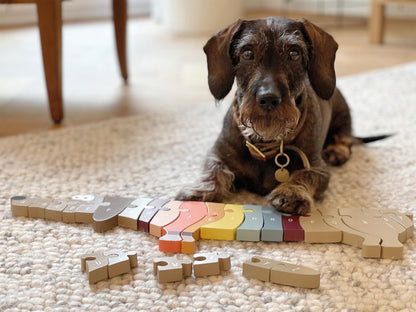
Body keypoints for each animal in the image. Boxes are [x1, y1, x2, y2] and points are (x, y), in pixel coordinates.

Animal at [178, 17, 386, 214]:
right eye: (247, 53)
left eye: (294, 53)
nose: (268, 98)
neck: (265, 144)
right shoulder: (218, 154)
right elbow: (214, 170)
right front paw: (200, 190)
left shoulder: (318, 168)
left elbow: (305, 174)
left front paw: (291, 192)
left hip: (342, 112)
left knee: (345, 135)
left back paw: (338, 149)